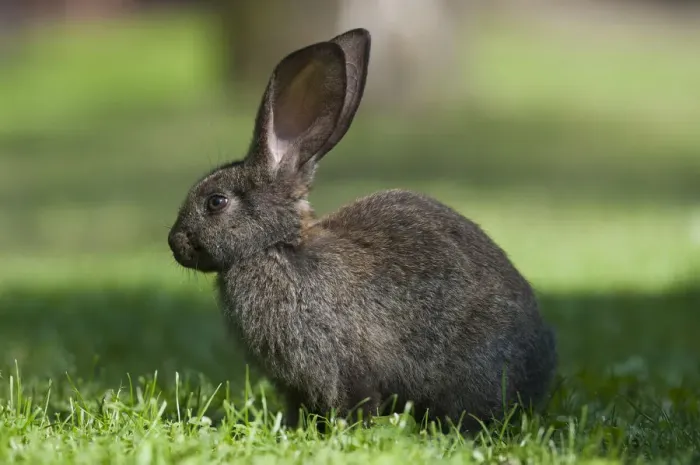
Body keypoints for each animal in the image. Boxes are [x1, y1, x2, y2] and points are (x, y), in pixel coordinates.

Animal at [167, 28, 557, 432]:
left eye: (216, 202)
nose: (174, 243)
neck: (275, 246)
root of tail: (540, 373)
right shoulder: (295, 384)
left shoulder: (337, 364)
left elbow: (353, 399)